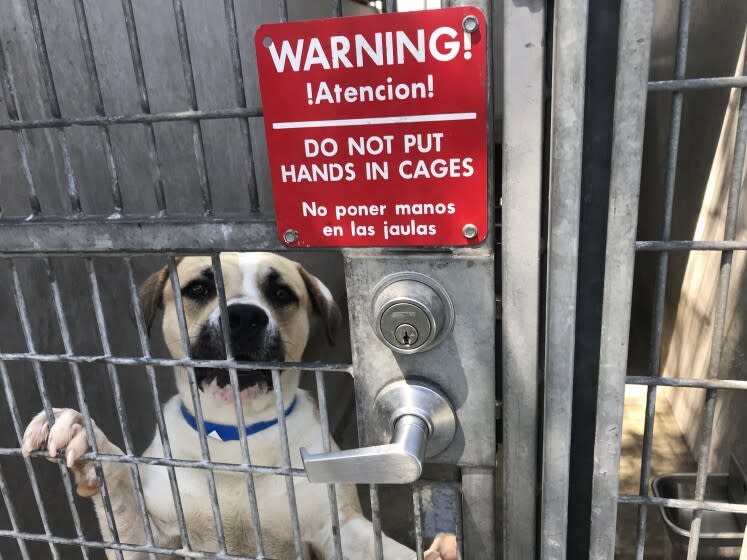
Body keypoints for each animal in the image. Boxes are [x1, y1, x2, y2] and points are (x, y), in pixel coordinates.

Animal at [21, 254, 456, 560]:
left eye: (281, 294)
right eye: (198, 288)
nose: (244, 315)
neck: (235, 433)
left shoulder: (339, 530)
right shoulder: (151, 539)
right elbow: (120, 488)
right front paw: (79, 432)